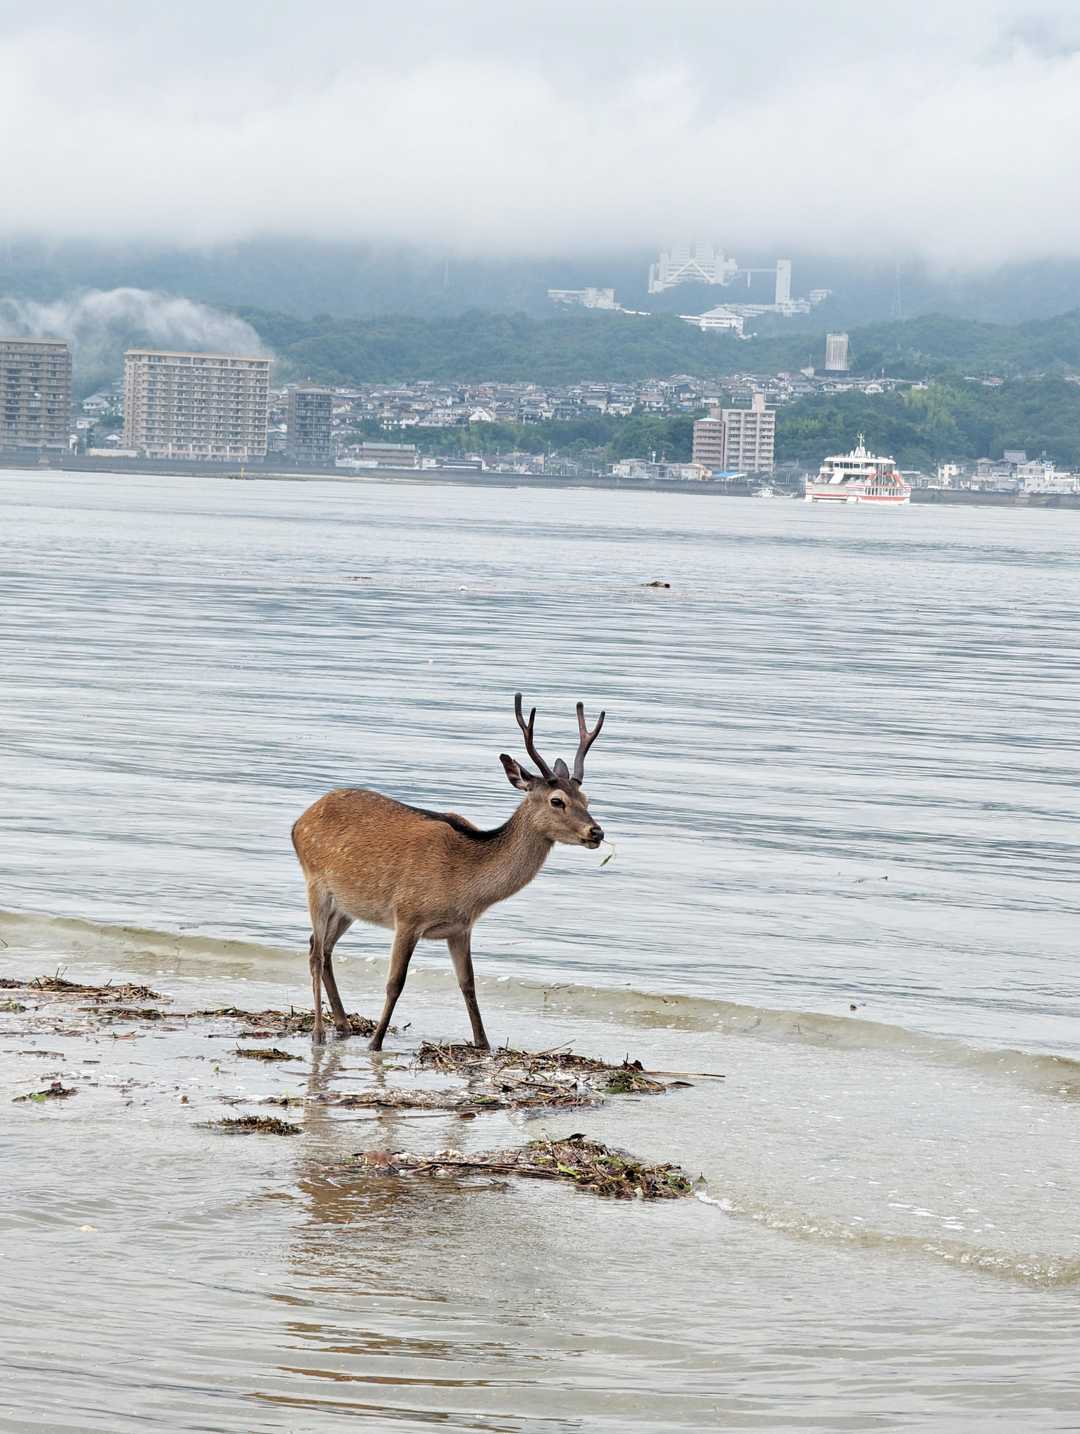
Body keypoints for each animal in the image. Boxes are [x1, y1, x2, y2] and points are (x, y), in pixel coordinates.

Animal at [291, 693, 607, 1049]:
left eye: (586, 798)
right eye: (557, 800)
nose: (596, 832)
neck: (465, 887)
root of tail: (299, 821)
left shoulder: (460, 928)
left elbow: (468, 984)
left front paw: (483, 1043)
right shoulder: (407, 915)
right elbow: (395, 983)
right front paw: (375, 1043)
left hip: (349, 904)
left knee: (324, 947)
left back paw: (343, 1023)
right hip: (315, 883)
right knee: (315, 951)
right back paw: (319, 1032)